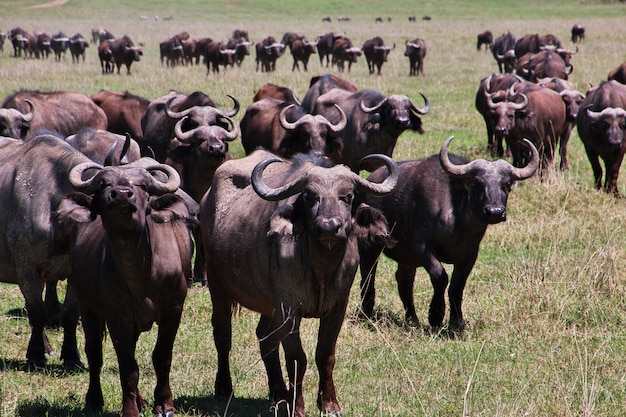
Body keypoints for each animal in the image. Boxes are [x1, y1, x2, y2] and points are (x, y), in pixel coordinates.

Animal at [54, 158, 194, 414]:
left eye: (144, 186)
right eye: (103, 184)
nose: (120, 195)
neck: (140, 272)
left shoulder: (174, 309)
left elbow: (162, 356)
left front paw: (164, 404)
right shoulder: (116, 316)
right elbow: (128, 366)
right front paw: (129, 410)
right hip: (88, 306)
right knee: (94, 353)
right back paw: (95, 400)